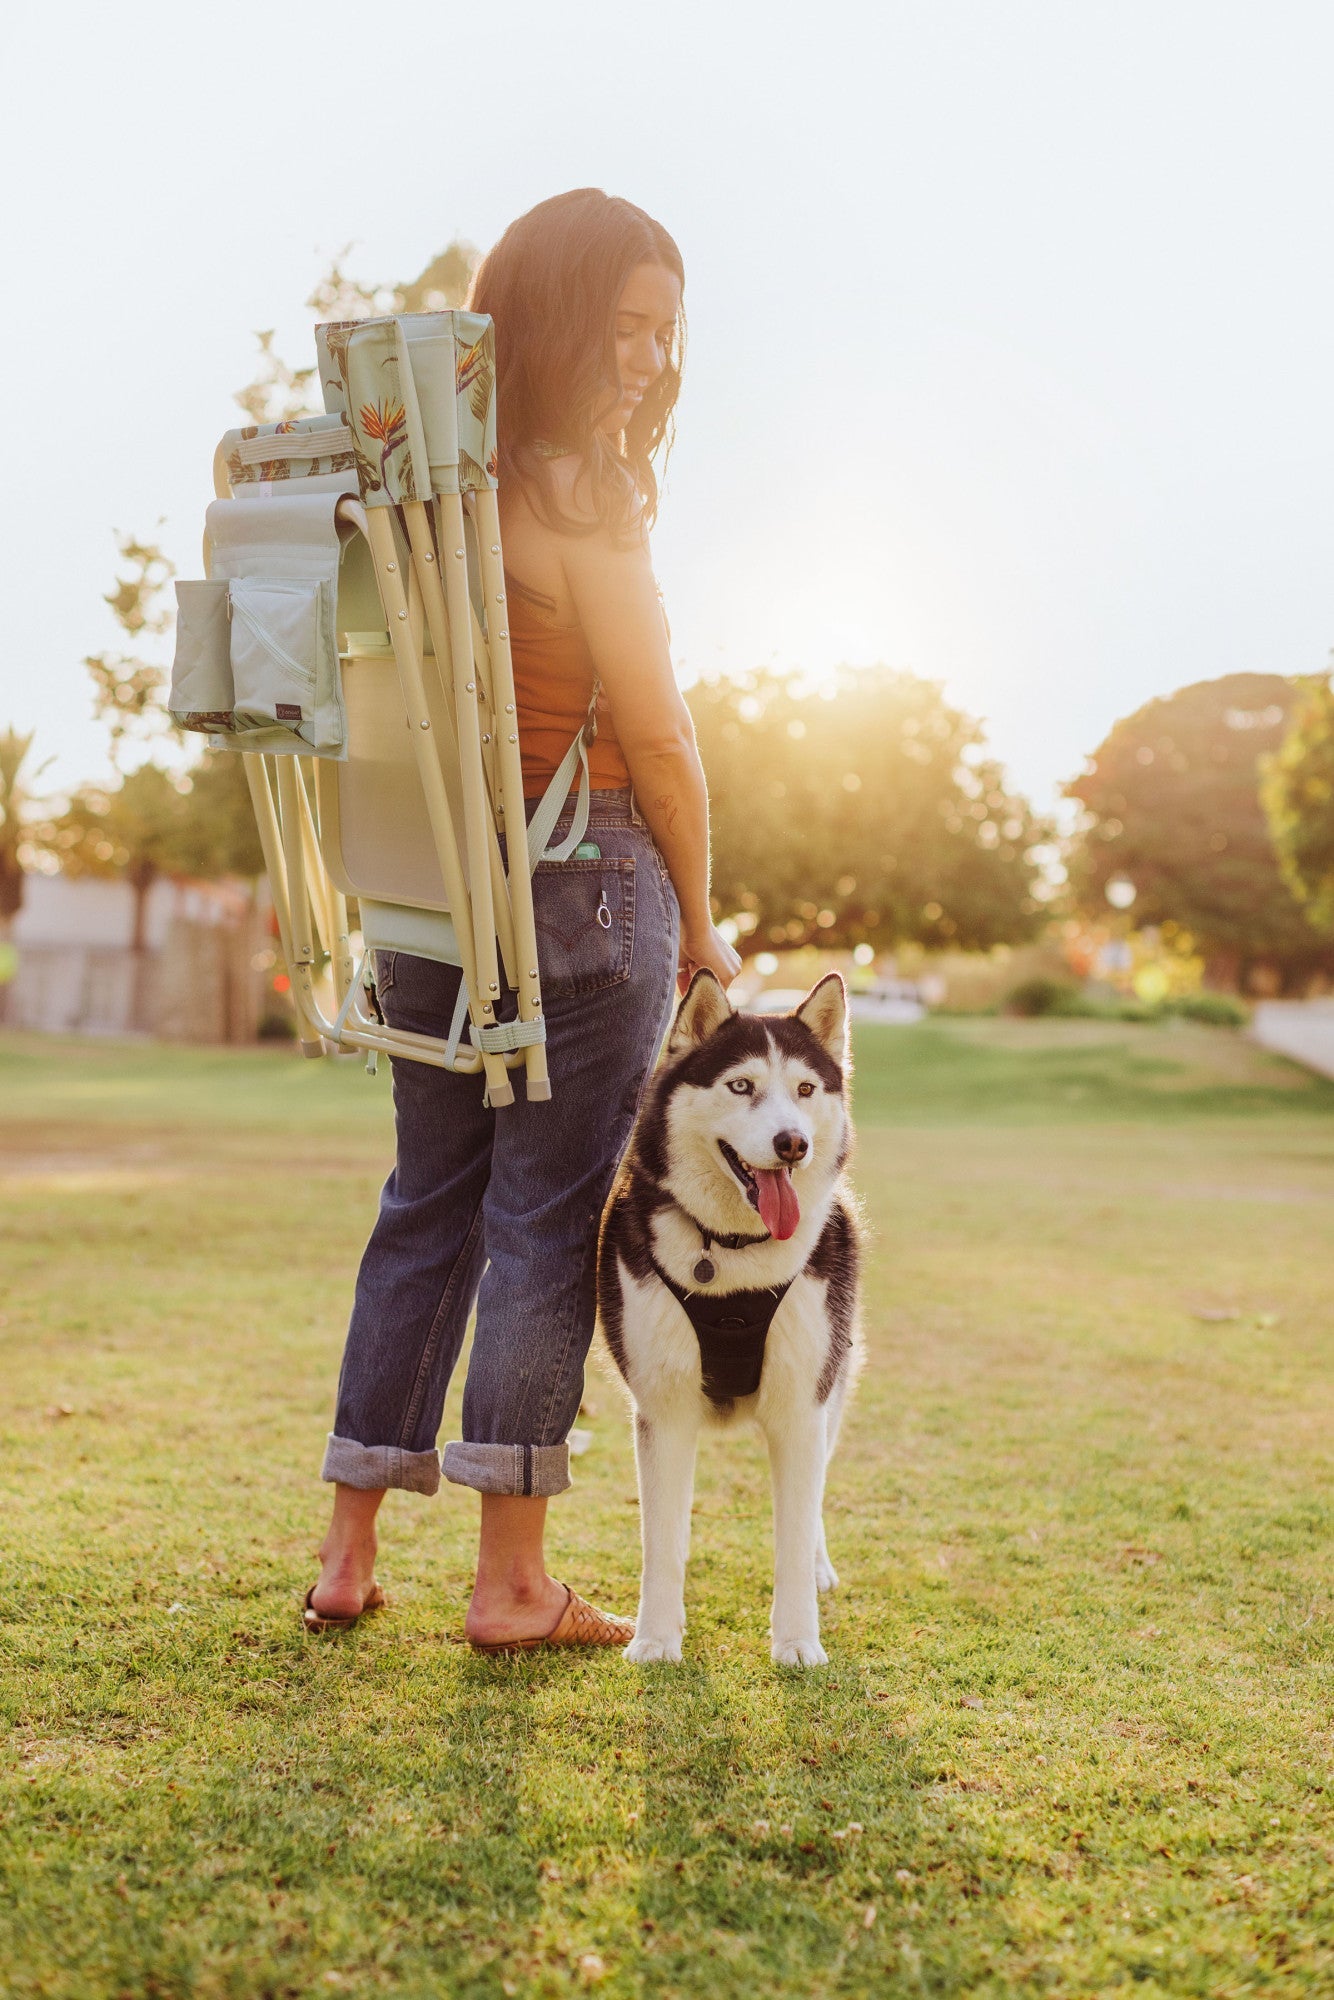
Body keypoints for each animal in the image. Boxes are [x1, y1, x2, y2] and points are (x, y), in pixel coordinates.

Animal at [600, 976, 860, 1664]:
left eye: (805, 1089)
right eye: (741, 1086)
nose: (793, 1143)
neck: (732, 1251)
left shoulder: (800, 1407)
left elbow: (793, 1533)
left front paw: (797, 1640)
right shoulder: (663, 1411)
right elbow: (661, 1540)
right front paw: (656, 1637)